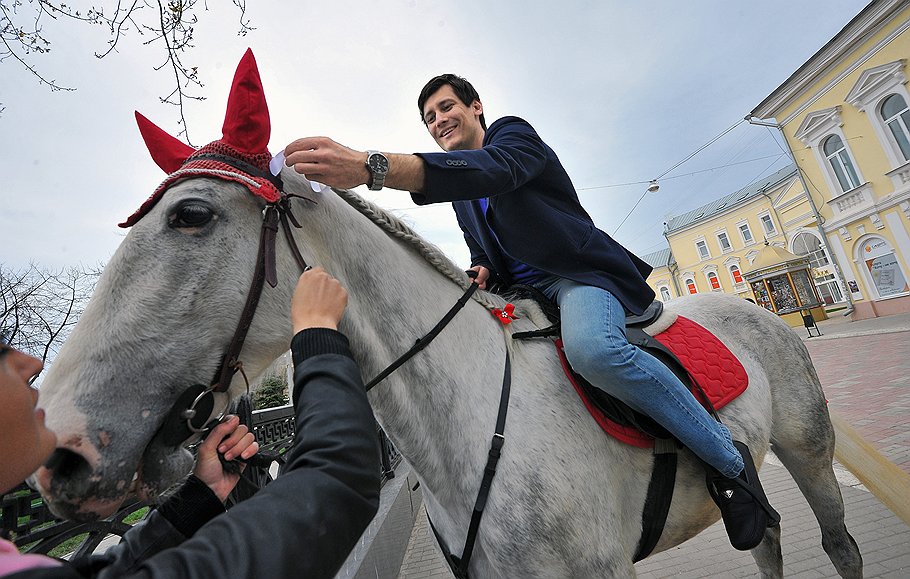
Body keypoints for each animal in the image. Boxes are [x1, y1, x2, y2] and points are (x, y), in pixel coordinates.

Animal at [33, 167, 864, 576]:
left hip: (810, 453)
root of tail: (764, 311)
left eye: (191, 215)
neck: (474, 424)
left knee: (837, 544)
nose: (60, 453)